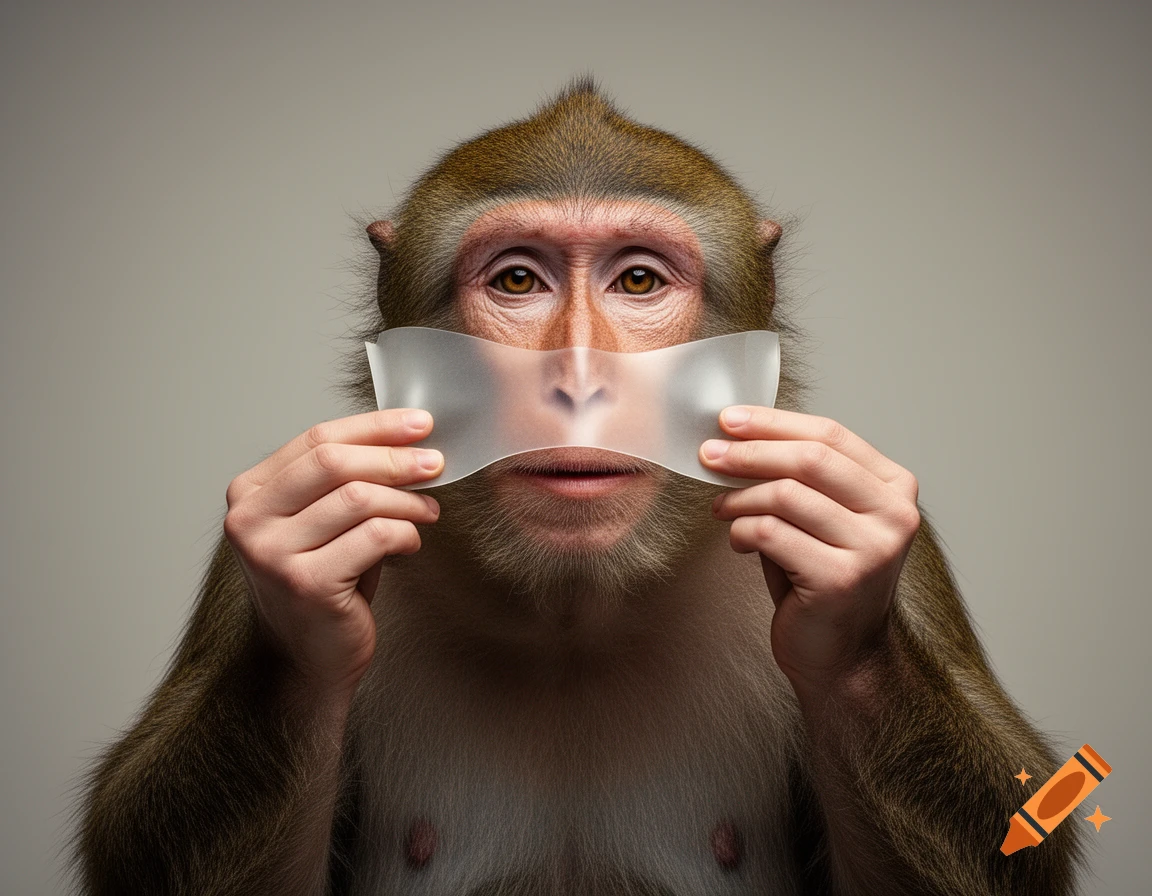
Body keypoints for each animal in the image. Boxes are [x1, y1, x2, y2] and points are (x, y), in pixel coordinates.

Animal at [73, 80, 1085, 895]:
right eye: (518, 280)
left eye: (637, 280)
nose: (579, 375)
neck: (574, 607)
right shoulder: (237, 549)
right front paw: (303, 622)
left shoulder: (917, 550)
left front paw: (846, 629)